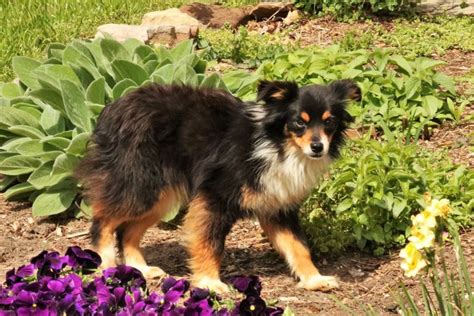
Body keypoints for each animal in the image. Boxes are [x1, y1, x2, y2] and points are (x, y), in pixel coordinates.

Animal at [76, 80, 362, 292]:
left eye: (329, 122)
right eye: (299, 122)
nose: (317, 147)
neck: (277, 145)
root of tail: (114, 107)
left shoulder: (277, 206)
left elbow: (298, 246)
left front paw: (315, 279)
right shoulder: (215, 197)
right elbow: (210, 242)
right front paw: (210, 283)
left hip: (161, 195)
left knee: (127, 231)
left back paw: (141, 269)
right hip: (141, 186)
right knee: (103, 221)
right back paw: (107, 264)